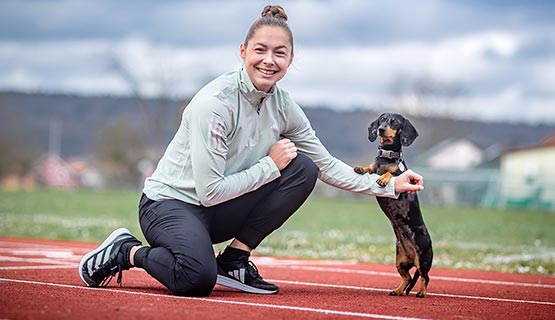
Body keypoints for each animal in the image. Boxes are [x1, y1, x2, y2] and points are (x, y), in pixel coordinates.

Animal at [356, 112, 434, 298]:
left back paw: (422, 292)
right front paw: (362, 168)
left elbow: (392, 172)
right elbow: (371, 167)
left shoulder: (400, 175)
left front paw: (384, 178)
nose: (380, 129)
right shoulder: (375, 165)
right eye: (382, 120)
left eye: (395, 122)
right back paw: (398, 290)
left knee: (425, 277)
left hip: (423, 259)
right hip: (400, 262)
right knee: (407, 278)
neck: (386, 156)